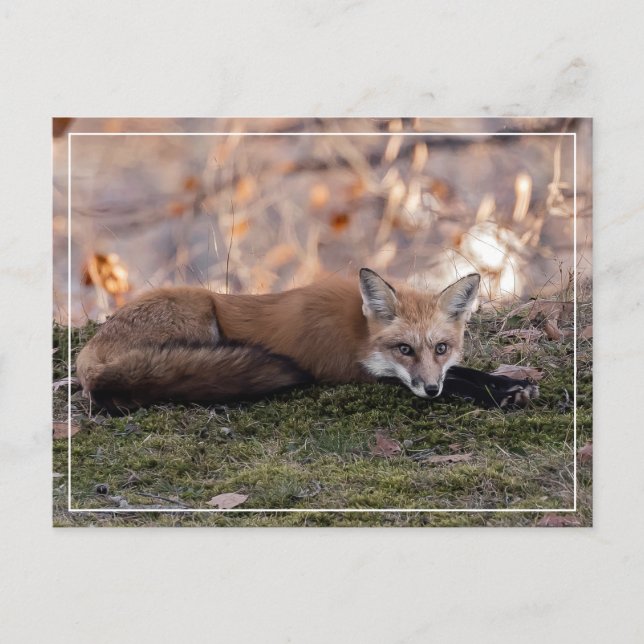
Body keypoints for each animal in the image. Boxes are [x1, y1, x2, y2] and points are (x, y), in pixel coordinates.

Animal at [76, 268, 538, 413]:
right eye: (404, 349)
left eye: (441, 348)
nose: (429, 389)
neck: (356, 332)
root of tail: (88, 355)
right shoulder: (348, 371)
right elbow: (459, 383)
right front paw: (500, 394)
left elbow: (465, 373)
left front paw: (512, 384)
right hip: (198, 312)